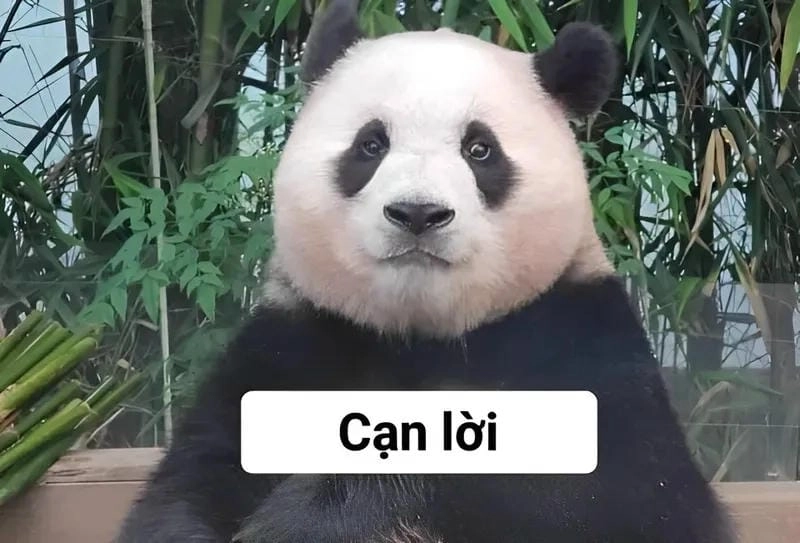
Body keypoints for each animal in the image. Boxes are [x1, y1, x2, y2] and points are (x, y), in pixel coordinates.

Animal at [117, 1, 737, 542]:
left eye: (480, 150)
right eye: (370, 144)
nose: (418, 213)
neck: (419, 331)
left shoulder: (577, 338)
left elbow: (619, 493)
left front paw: (304, 521)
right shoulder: (291, 348)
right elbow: (187, 485)